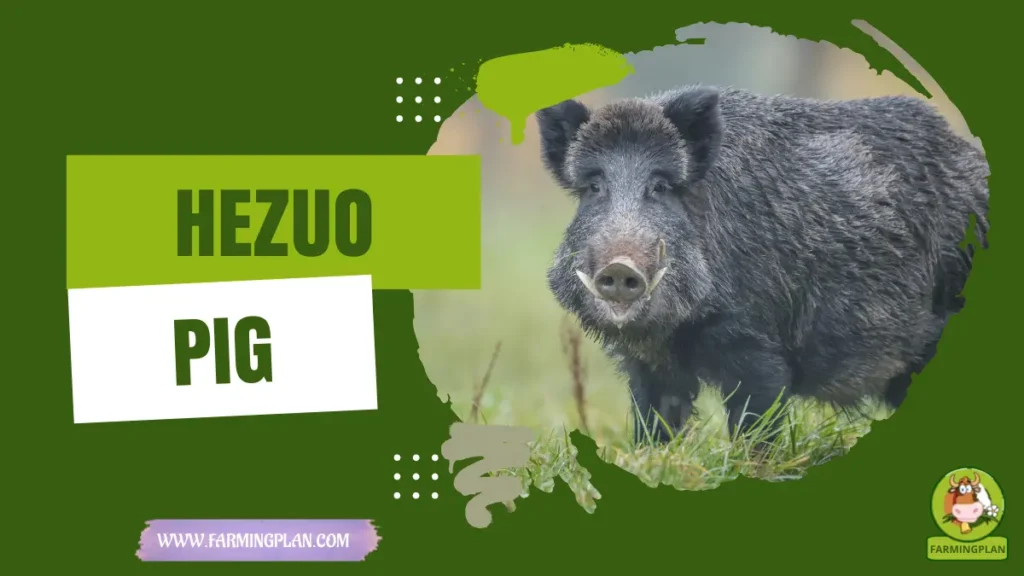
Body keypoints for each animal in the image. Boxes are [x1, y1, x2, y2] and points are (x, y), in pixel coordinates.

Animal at [534, 85, 990, 445]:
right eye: (594, 187)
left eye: (661, 186)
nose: (620, 267)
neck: (673, 331)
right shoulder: (647, 366)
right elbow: (654, 426)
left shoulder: (755, 346)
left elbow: (756, 426)